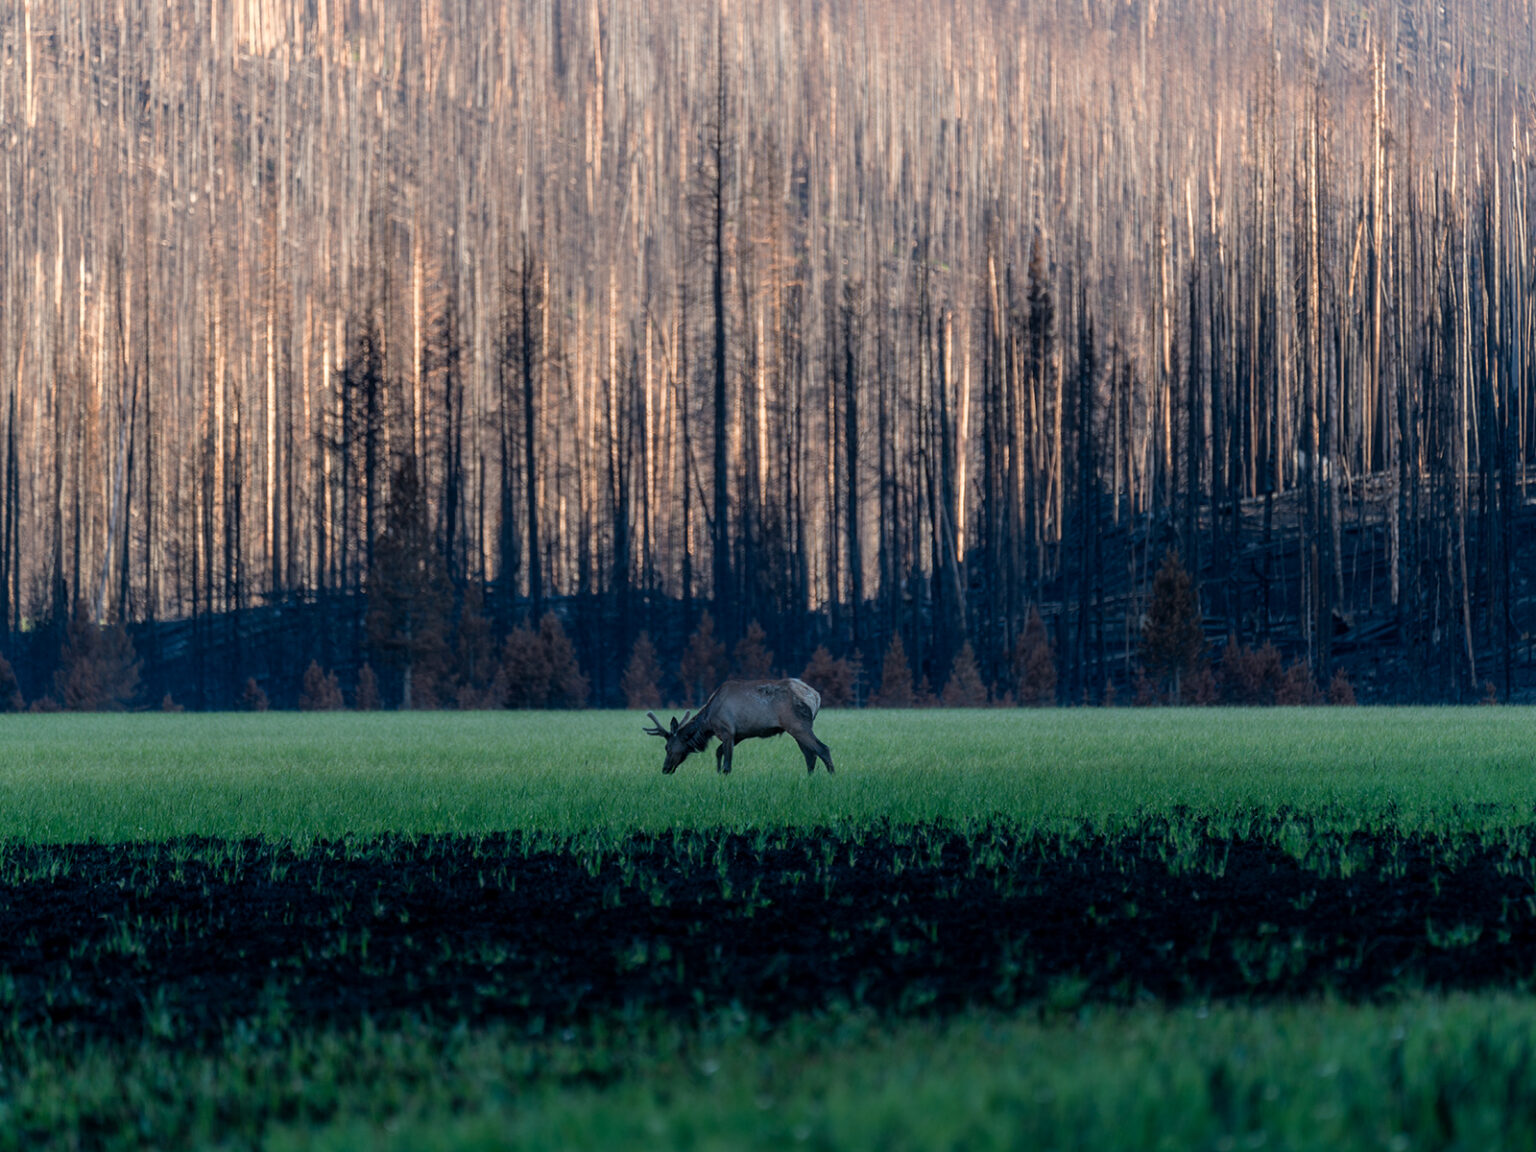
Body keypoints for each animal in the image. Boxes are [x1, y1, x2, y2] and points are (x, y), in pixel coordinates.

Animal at [643, 678, 834, 775]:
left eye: (668, 747)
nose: (665, 769)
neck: (708, 723)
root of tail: (815, 696)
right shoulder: (739, 734)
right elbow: (718, 752)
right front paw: (717, 773)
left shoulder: (727, 730)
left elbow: (727, 762)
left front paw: (723, 774)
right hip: (796, 728)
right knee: (810, 755)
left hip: (798, 725)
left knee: (822, 749)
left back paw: (831, 776)